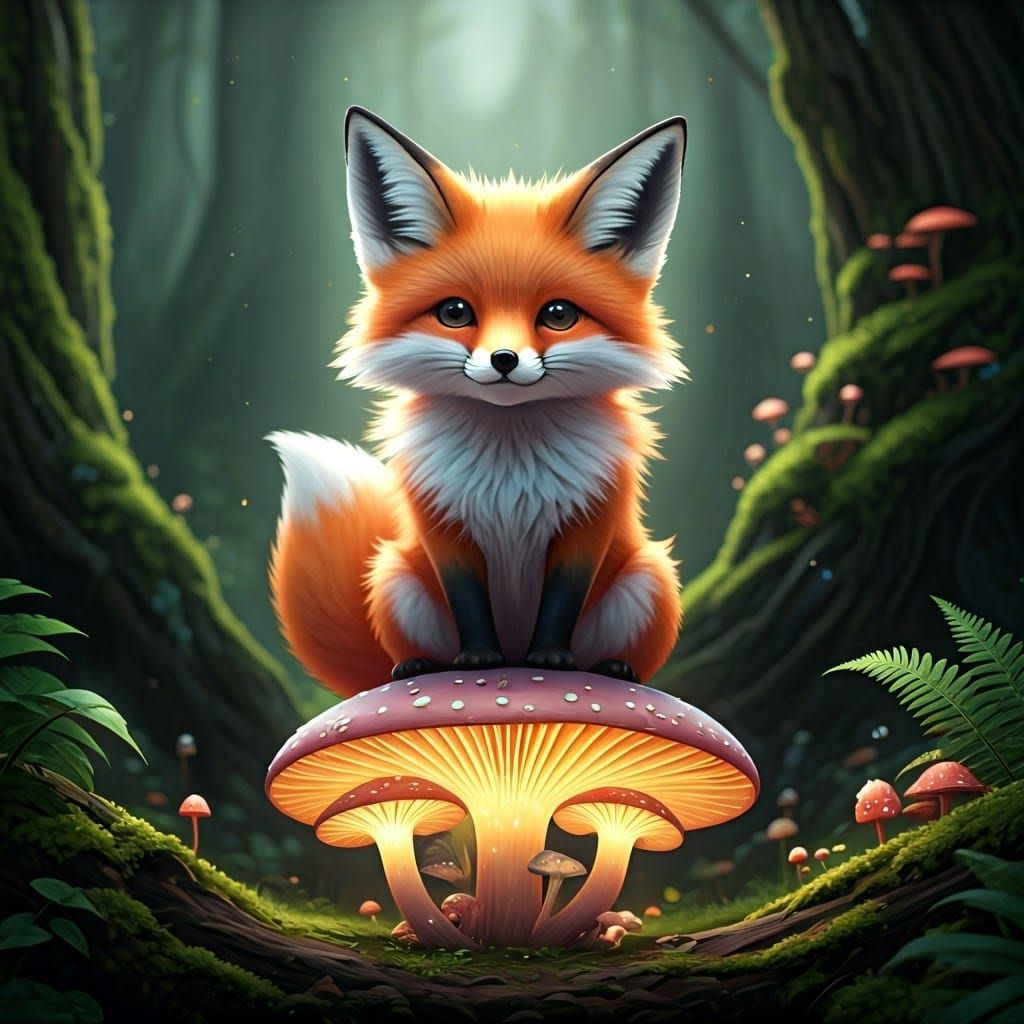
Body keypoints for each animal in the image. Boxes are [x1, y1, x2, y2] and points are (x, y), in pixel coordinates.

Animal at [267, 106, 688, 695]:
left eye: (558, 314)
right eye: (455, 312)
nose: (504, 360)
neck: (509, 465)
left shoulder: (590, 518)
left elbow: (562, 601)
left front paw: (551, 659)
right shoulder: (441, 521)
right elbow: (468, 600)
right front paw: (477, 660)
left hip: (650, 576)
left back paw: (610, 667)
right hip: (395, 576)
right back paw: (419, 665)